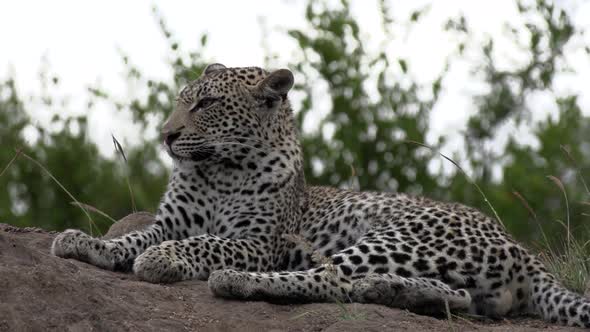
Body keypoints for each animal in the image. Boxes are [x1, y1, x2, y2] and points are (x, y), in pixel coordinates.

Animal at [52, 63, 590, 328]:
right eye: (181, 101)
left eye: (205, 104)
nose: (165, 136)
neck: (218, 170)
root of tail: (521, 249)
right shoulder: (171, 220)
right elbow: (132, 237)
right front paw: (85, 243)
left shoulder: (257, 243)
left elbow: (205, 243)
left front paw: (163, 259)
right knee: (453, 297)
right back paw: (390, 291)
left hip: (395, 236)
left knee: (327, 279)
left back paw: (239, 282)